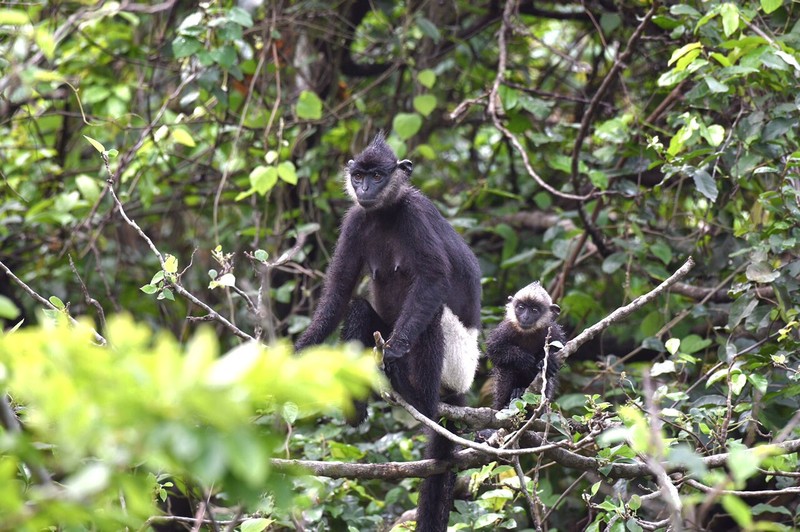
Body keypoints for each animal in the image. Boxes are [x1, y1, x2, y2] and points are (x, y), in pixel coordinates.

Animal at [294, 131, 482, 528]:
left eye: (378, 175)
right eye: (359, 176)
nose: (365, 188)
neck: (384, 212)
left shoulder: (416, 215)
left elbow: (434, 278)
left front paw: (395, 349)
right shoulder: (355, 220)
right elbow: (339, 292)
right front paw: (299, 351)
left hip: (456, 365)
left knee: (431, 321)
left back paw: (417, 396)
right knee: (358, 308)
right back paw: (357, 406)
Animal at [484, 280, 564, 410]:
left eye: (534, 310)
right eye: (521, 307)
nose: (526, 317)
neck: (528, 333)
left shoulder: (553, 330)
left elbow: (558, 349)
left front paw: (548, 360)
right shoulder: (505, 329)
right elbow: (494, 350)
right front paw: (523, 359)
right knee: (507, 369)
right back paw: (513, 395)